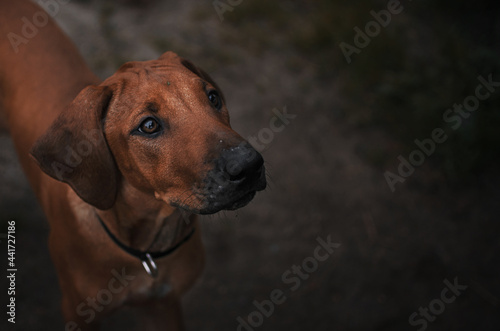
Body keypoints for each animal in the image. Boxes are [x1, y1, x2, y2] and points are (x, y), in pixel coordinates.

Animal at [0, 1, 266, 330]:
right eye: (149, 125)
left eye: (213, 97)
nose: (249, 165)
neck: (147, 249)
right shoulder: (78, 312)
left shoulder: (164, 305)